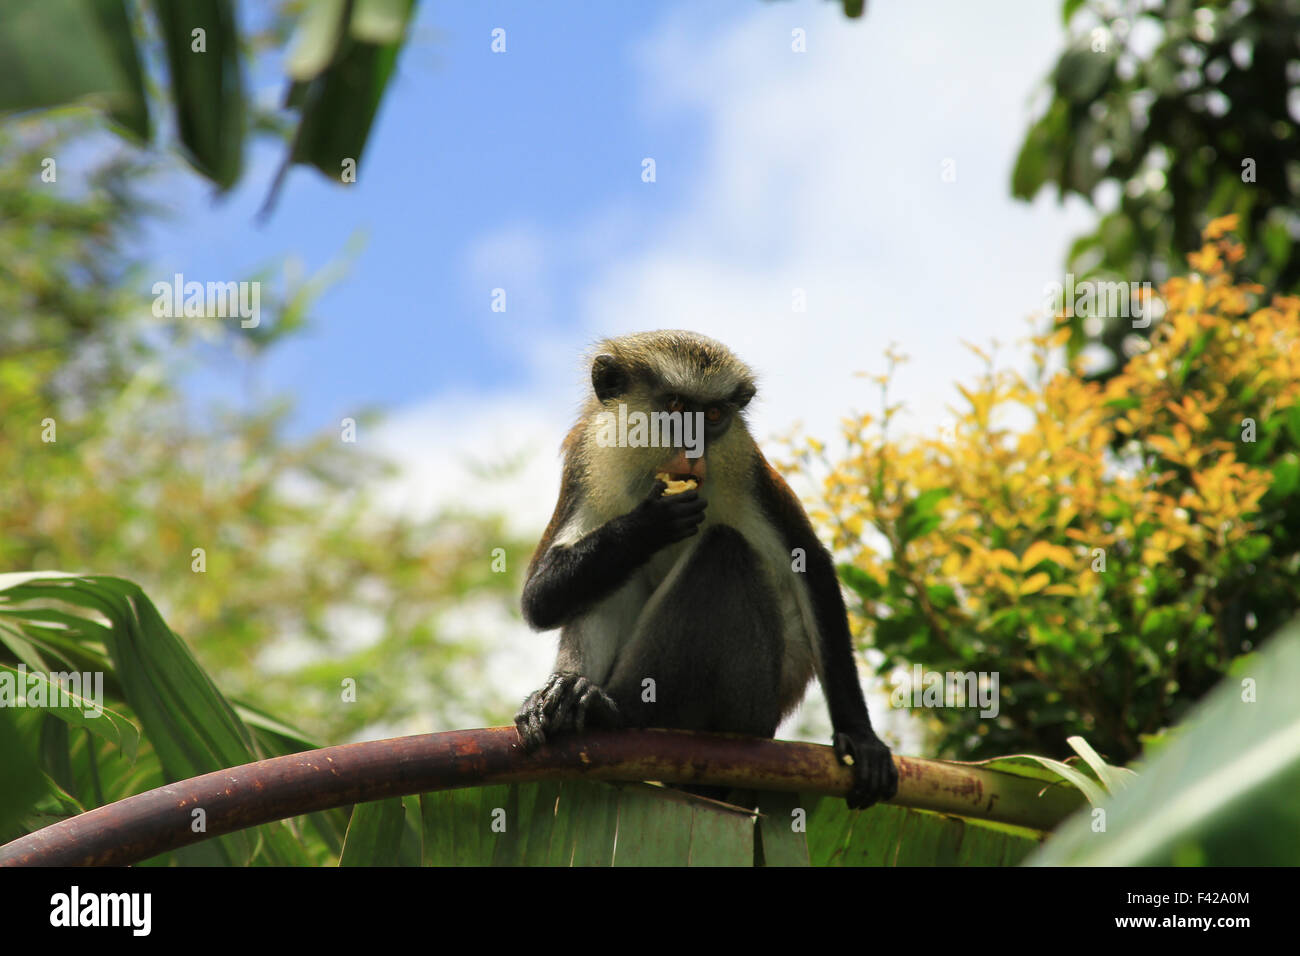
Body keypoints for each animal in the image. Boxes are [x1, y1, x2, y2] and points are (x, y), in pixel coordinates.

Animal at [512, 329, 899, 806]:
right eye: (677, 406)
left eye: (713, 415)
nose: (694, 448)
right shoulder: (585, 466)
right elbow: (538, 599)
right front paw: (646, 524)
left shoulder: (749, 471)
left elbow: (814, 567)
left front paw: (860, 737)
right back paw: (570, 695)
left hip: (749, 706)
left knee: (723, 551)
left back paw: (614, 711)